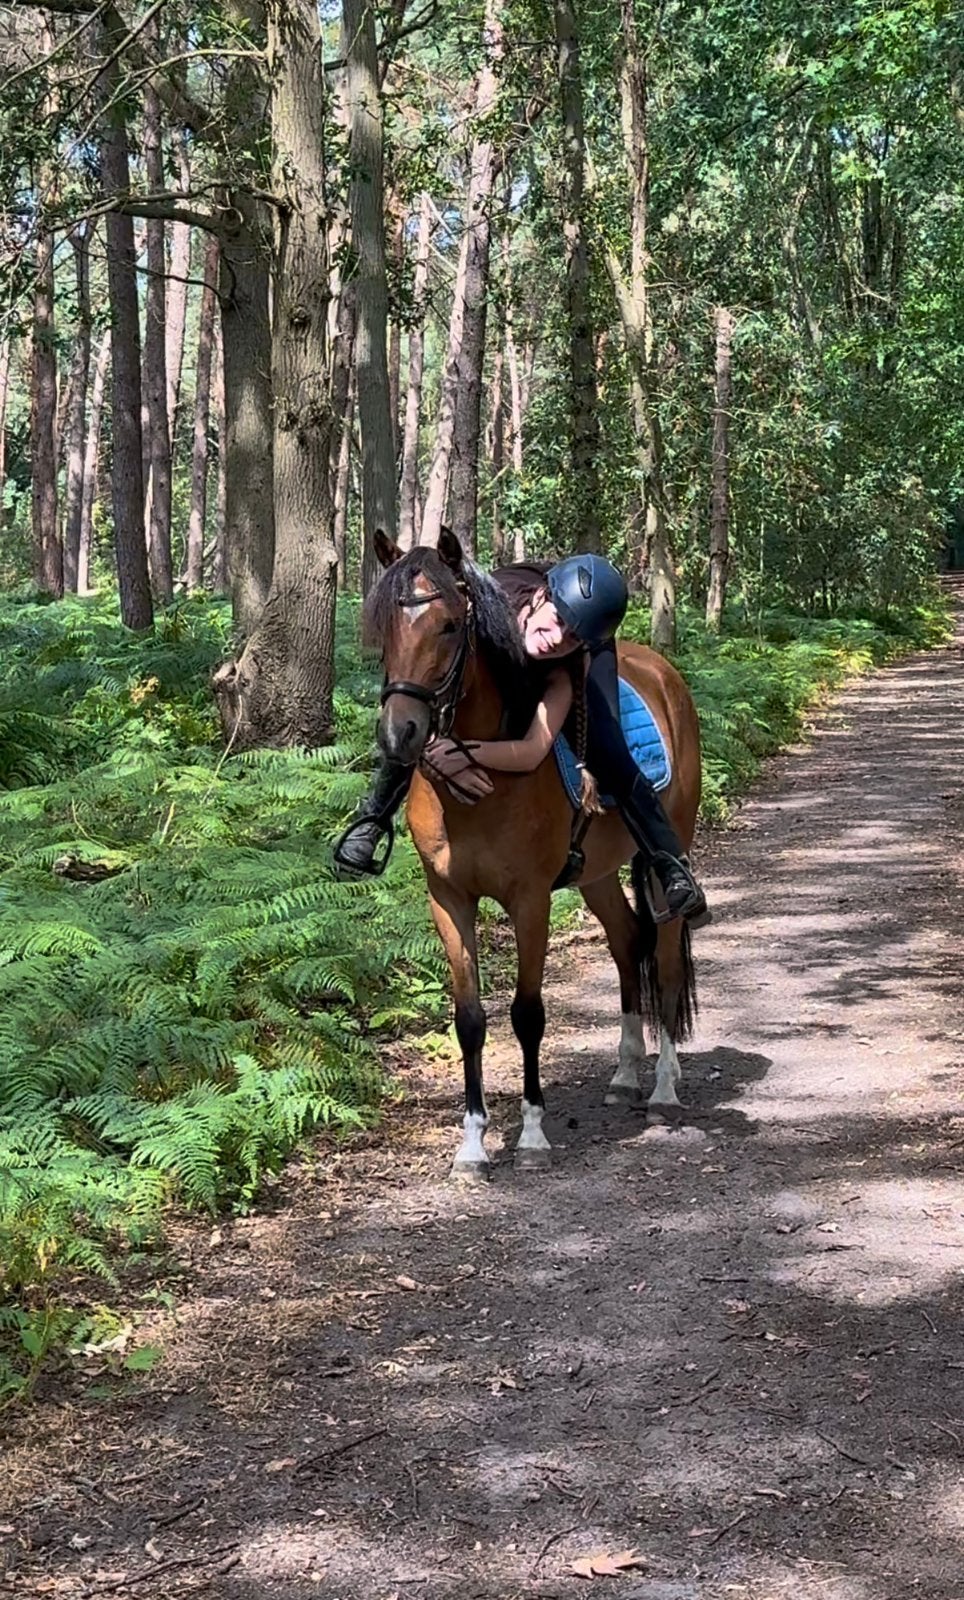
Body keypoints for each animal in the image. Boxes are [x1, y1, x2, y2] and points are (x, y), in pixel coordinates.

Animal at [364, 528, 701, 1180]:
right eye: (383, 625)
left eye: (449, 626)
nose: (400, 736)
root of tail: (662, 671)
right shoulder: (448, 898)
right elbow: (470, 1019)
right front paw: (472, 1146)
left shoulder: (530, 901)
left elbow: (527, 1014)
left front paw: (534, 1135)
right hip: (596, 874)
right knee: (628, 944)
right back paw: (625, 1076)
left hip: (667, 851)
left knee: (667, 960)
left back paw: (664, 1089)